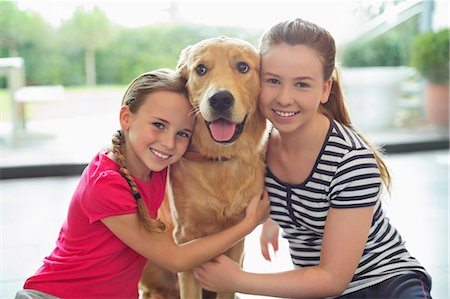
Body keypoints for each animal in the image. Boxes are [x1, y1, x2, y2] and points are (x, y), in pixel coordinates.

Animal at [141, 35, 268, 299]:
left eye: (243, 67)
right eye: (200, 69)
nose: (220, 99)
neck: (219, 160)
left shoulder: (236, 239)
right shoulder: (186, 238)